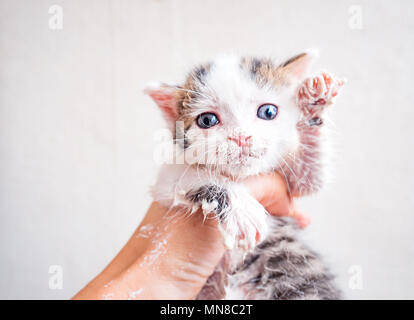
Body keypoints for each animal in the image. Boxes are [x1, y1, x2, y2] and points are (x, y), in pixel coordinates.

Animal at [144, 50, 344, 300]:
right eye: (207, 120)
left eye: (268, 112)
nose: (241, 137)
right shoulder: (166, 180)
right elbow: (188, 175)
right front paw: (243, 211)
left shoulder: (289, 184)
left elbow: (310, 179)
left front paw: (313, 103)